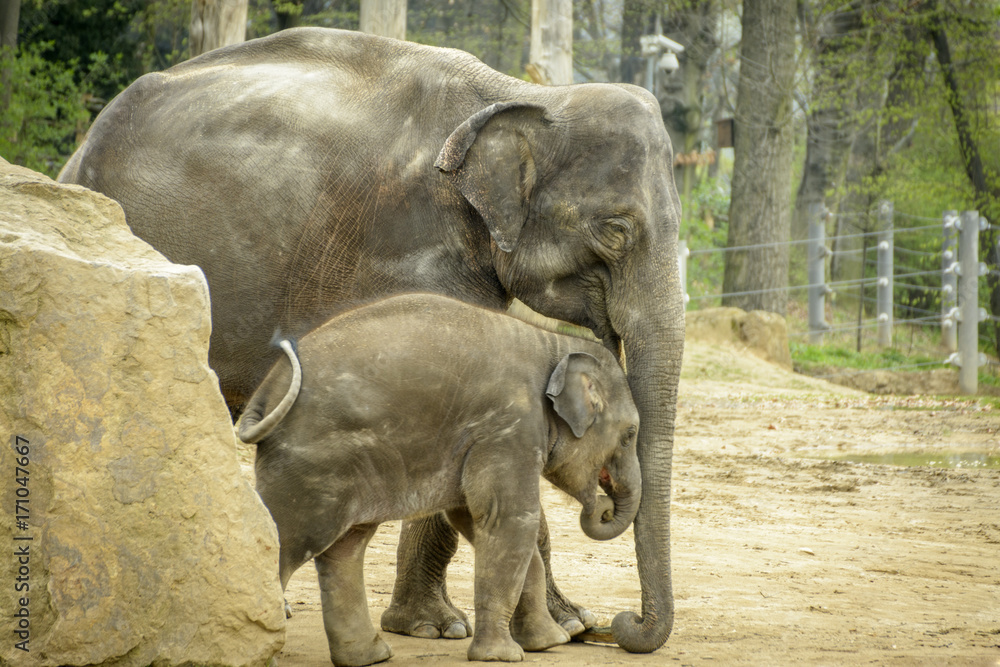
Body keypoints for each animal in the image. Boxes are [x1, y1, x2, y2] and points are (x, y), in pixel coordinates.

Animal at [237, 293, 642, 665]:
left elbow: (474, 518)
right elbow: (510, 519)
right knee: (288, 539)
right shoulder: (510, 425)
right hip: (311, 464)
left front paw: (546, 643)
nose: (604, 508)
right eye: (630, 434)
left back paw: (370, 657)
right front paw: (503, 656)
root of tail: (266, 392)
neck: (553, 343)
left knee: (345, 548)